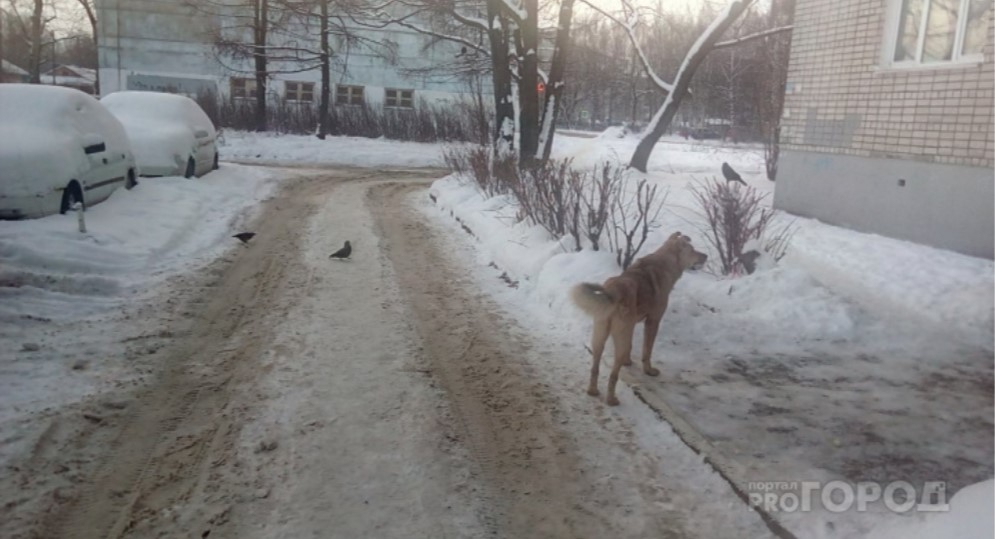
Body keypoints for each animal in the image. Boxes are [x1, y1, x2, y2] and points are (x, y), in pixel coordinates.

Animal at [568, 232, 708, 404]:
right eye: (693, 250)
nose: (706, 256)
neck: (666, 262)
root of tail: (613, 291)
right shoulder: (653, 321)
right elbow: (647, 351)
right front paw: (649, 371)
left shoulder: (632, 325)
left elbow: (631, 347)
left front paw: (628, 362)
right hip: (618, 338)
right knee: (613, 374)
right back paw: (611, 399)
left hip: (599, 336)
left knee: (595, 367)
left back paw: (593, 391)